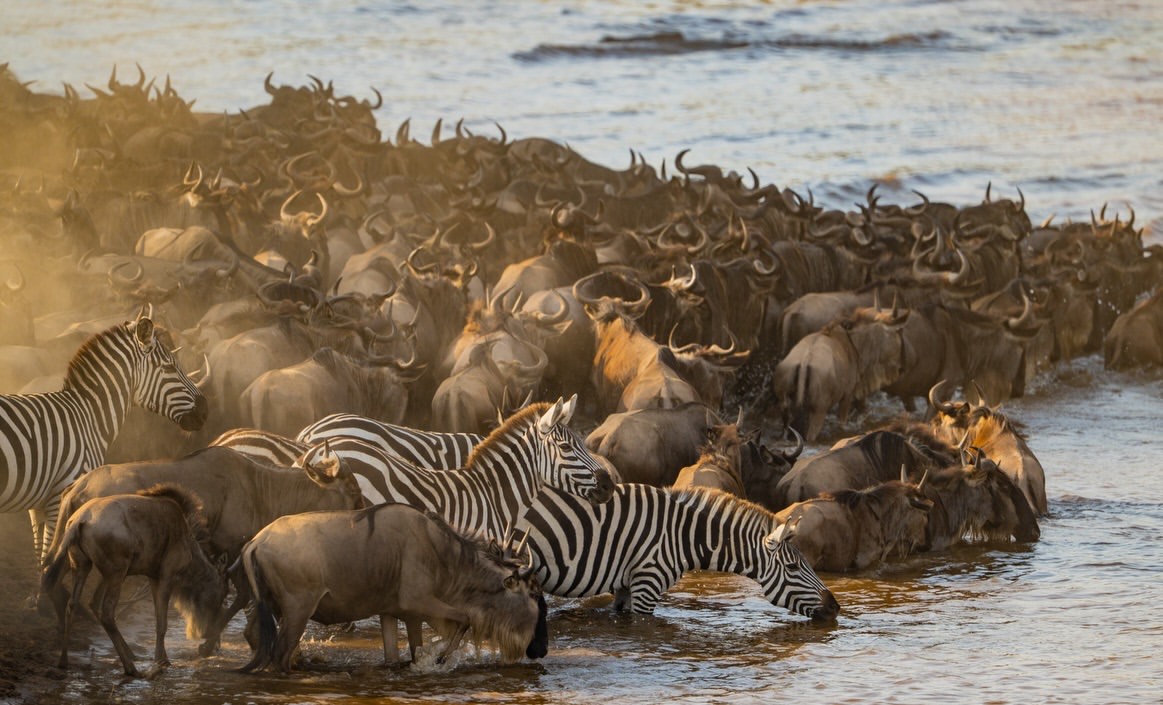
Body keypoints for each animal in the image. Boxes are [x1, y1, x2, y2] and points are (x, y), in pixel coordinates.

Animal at [0, 309, 208, 563]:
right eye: (169, 368)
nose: (205, 410)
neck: (88, 415)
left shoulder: (38, 506)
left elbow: (41, 562)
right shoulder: (60, 495)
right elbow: (51, 561)